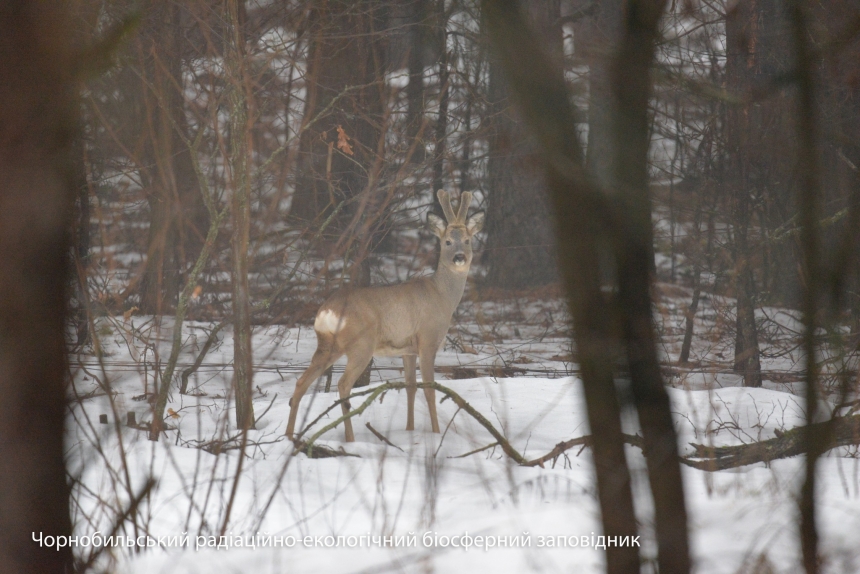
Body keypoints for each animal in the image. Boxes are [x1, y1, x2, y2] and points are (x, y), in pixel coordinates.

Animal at [284, 191, 480, 444]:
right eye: (447, 241)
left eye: (467, 240)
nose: (459, 257)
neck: (442, 296)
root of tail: (327, 311)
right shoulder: (428, 339)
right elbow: (429, 389)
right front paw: (436, 434)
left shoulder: (408, 349)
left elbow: (410, 387)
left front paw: (410, 430)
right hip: (361, 344)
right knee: (343, 384)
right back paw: (350, 439)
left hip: (327, 345)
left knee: (301, 382)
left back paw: (289, 437)